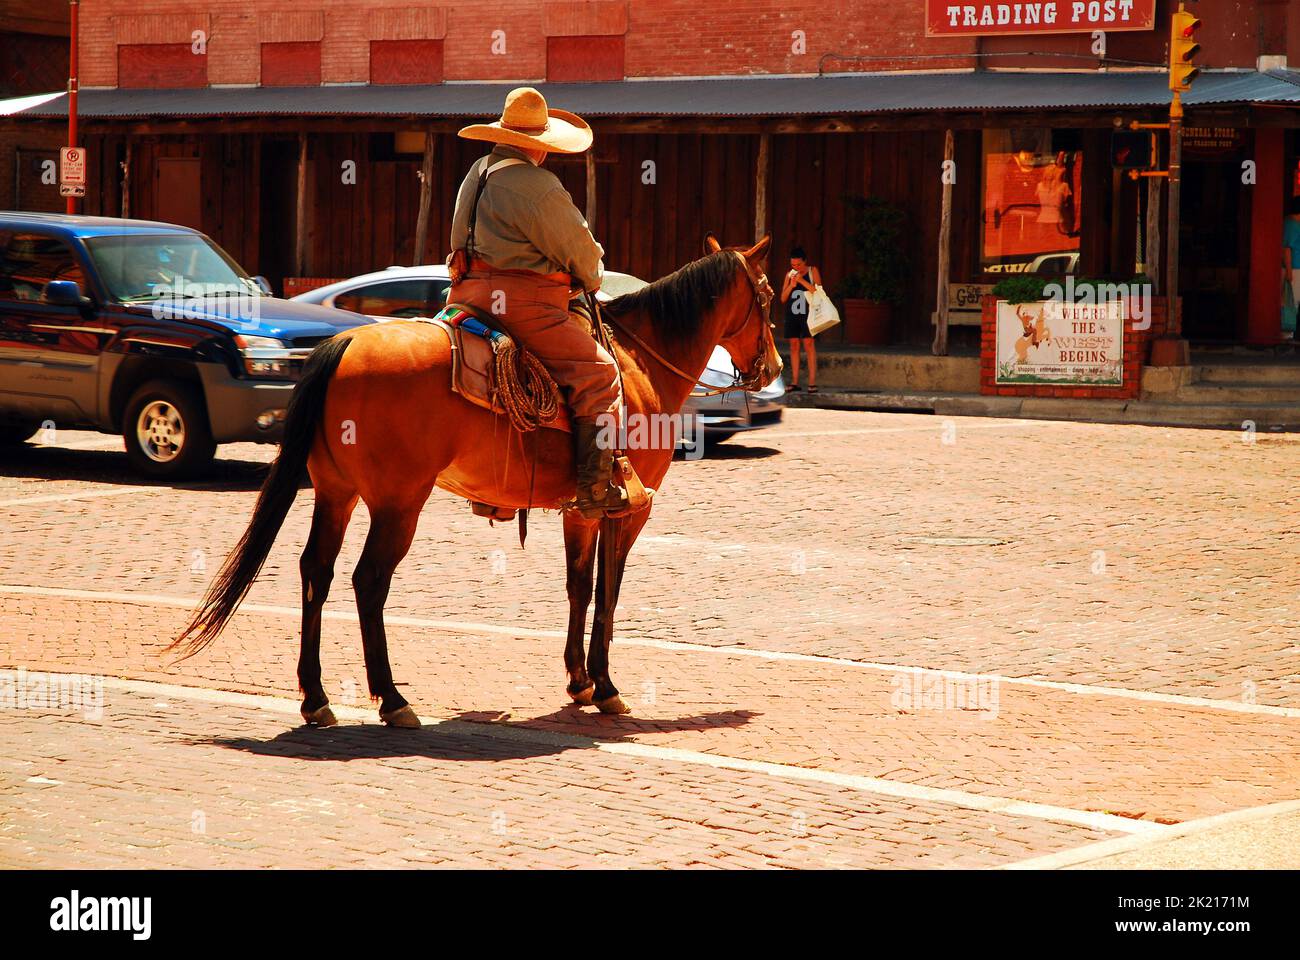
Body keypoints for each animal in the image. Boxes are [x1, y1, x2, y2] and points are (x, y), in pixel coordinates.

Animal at [175, 234, 780, 718]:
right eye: (770, 296)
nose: (772, 368)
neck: (638, 363)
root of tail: (347, 342)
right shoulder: (630, 510)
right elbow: (608, 593)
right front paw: (606, 686)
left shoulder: (581, 510)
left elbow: (579, 588)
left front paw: (579, 681)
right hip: (398, 503)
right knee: (368, 581)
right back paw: (392, 699)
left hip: (336, 494)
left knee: (315, 574)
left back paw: (317, 697)